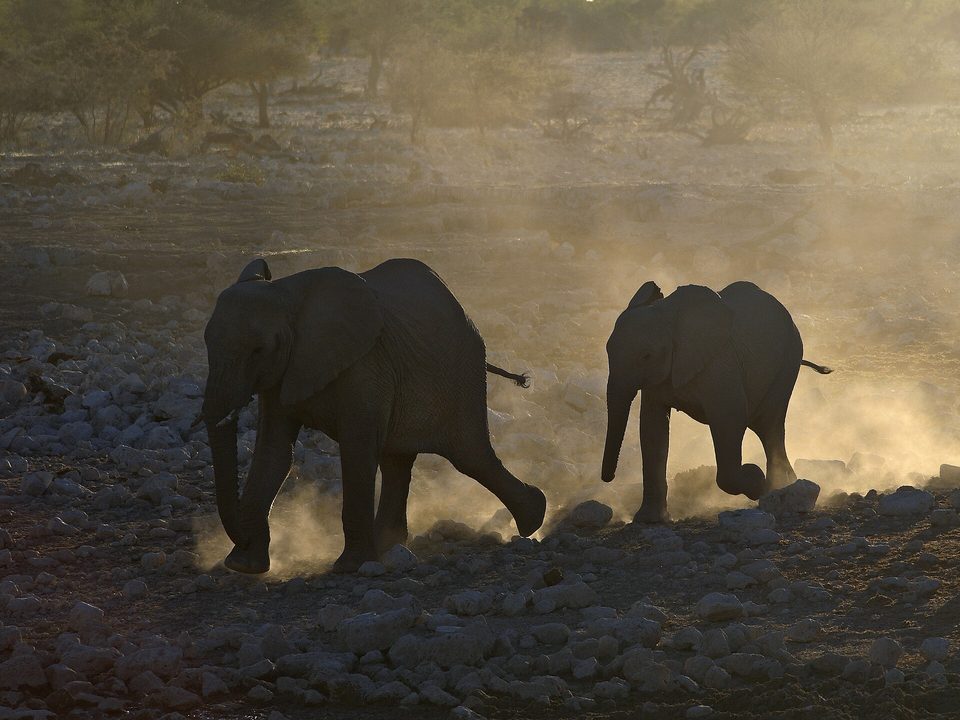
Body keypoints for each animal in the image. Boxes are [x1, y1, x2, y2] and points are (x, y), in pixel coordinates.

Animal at [202, 257, 547, 574]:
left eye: (258, 350)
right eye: (206, 341)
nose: (242, 539)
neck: (288, 293)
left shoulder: (364, 365)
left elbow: (357, 450)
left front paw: (349, 567)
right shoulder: (282, 373)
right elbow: (274, 452)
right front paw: (243, 566)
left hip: (462, 371)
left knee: (469, 455)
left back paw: (535, 517)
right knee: (397, 462)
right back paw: (388, 547)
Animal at [601, 280, 832, 523]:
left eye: (646, 356)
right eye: (607, 350)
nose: (608, 477)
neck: (669, 315)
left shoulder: (720, 363)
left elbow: (729, 418)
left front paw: (755, 478)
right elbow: (652, 429)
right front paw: (650, 520)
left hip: (788, 361)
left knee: (769, 426)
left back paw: (775, 489)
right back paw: (785, 486)